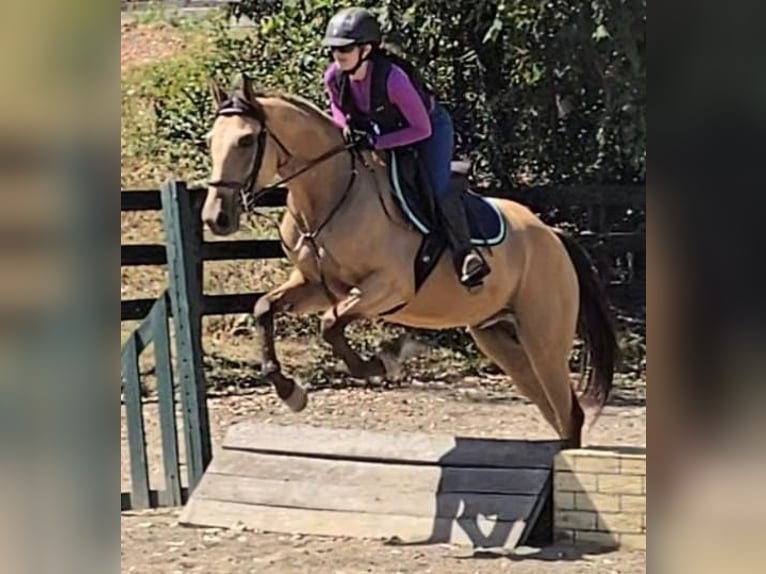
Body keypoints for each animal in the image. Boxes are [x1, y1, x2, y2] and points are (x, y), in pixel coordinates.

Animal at [202, 75, 618, 448]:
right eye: (210, 141)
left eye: (246, 140)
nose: (215, 219)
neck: (330, 196)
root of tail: (553, 236)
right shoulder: (316, 286)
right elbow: (264, 308)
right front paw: (290, 391)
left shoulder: (390, 286)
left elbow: (330, 324)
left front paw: (380, 363)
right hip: (499, 337)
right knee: (554, 410)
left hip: (543, 338)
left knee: (569, 412)